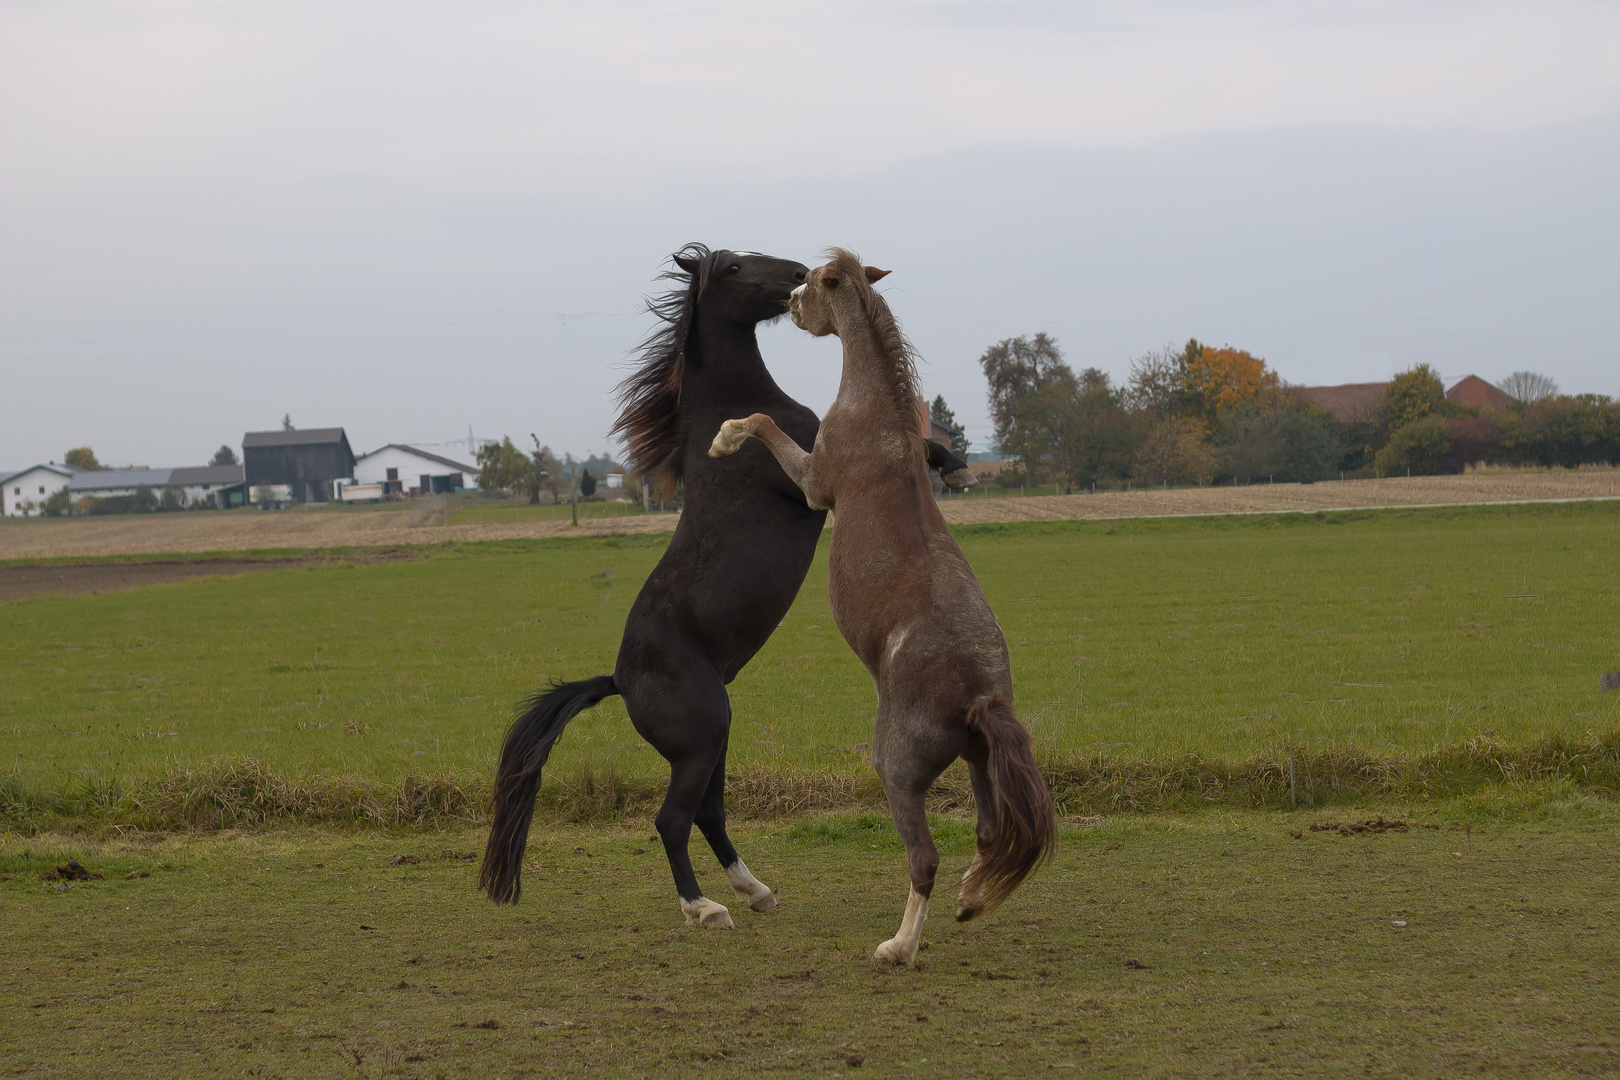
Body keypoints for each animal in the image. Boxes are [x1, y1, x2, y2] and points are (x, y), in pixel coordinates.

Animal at [479, 244, 972, 932]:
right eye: (736, 267)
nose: (797, 274)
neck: (730, 405)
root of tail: (618, 681)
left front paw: (955, 465)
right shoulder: (812, 479)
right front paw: (953, 465)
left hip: (714, 736)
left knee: (707, 813)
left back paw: (755, 890)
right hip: (703, 738)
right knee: (672, 820)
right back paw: (705, 908)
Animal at [706, 249, 1056, 965]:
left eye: (813, 282)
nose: (789, 302)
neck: (879, 415)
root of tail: (980, 694)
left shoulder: (815, 483)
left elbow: (763, 424)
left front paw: (723, 438)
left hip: (897, 772)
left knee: (924, 859)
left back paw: (899, 946)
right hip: (978, 762)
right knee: (986, 834)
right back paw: (969, 900)